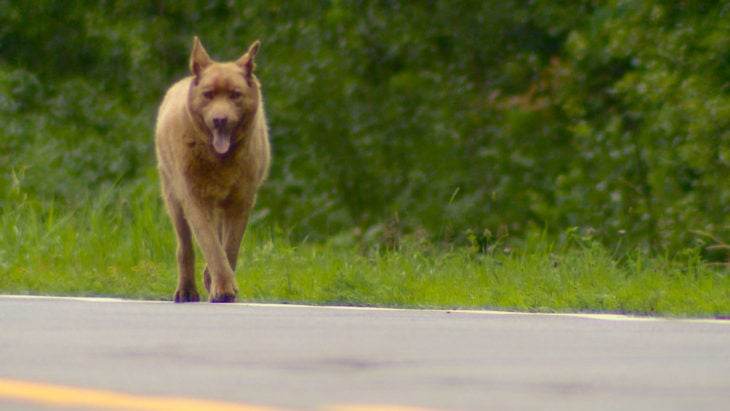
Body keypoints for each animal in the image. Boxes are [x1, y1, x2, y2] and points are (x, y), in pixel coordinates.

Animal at [154, 37, 270, 302]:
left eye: (235, 95)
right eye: (208, 95)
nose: (220, 119)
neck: (221, 160)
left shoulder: (242, 200)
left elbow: (229, 248)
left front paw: (219, 283)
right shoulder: (195, 198)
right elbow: (210, 245)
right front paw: (223, 287)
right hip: (173, 197)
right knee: (185, 247)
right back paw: (186, 290)